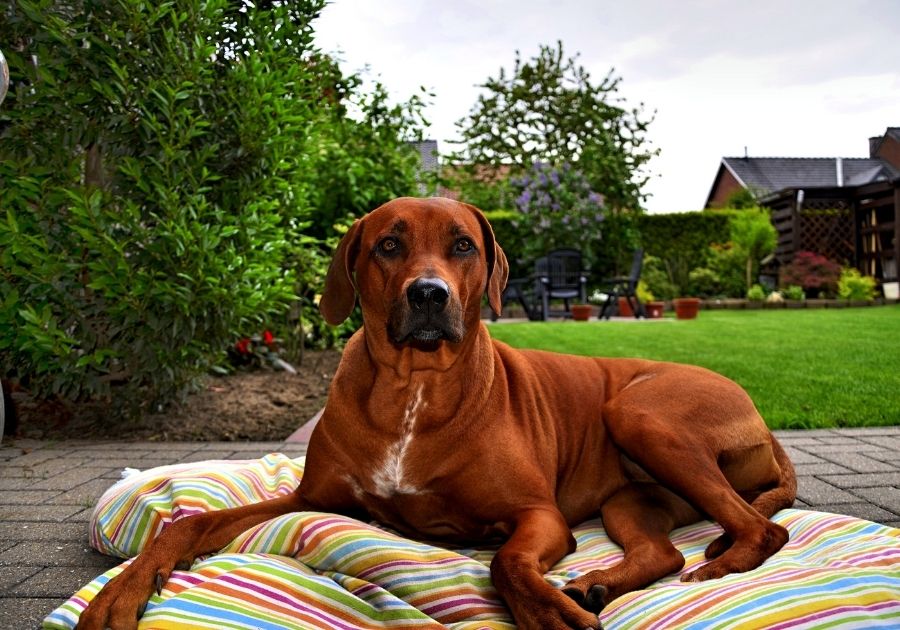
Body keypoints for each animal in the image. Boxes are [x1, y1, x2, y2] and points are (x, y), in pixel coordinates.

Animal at [75, 198, 796, 630]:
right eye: (389, 246)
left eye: (464, 245)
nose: (429, 294)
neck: (411, 390)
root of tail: (765, 424)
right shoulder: (313, 499)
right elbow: (188, 525)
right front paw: (120, 592)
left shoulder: (538, 514)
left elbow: (506, 562)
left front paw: (545, 610)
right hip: (631, 495)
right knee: (665, 552)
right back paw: (599, 584)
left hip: (639, 415)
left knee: (762, 531)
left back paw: (702, 570)